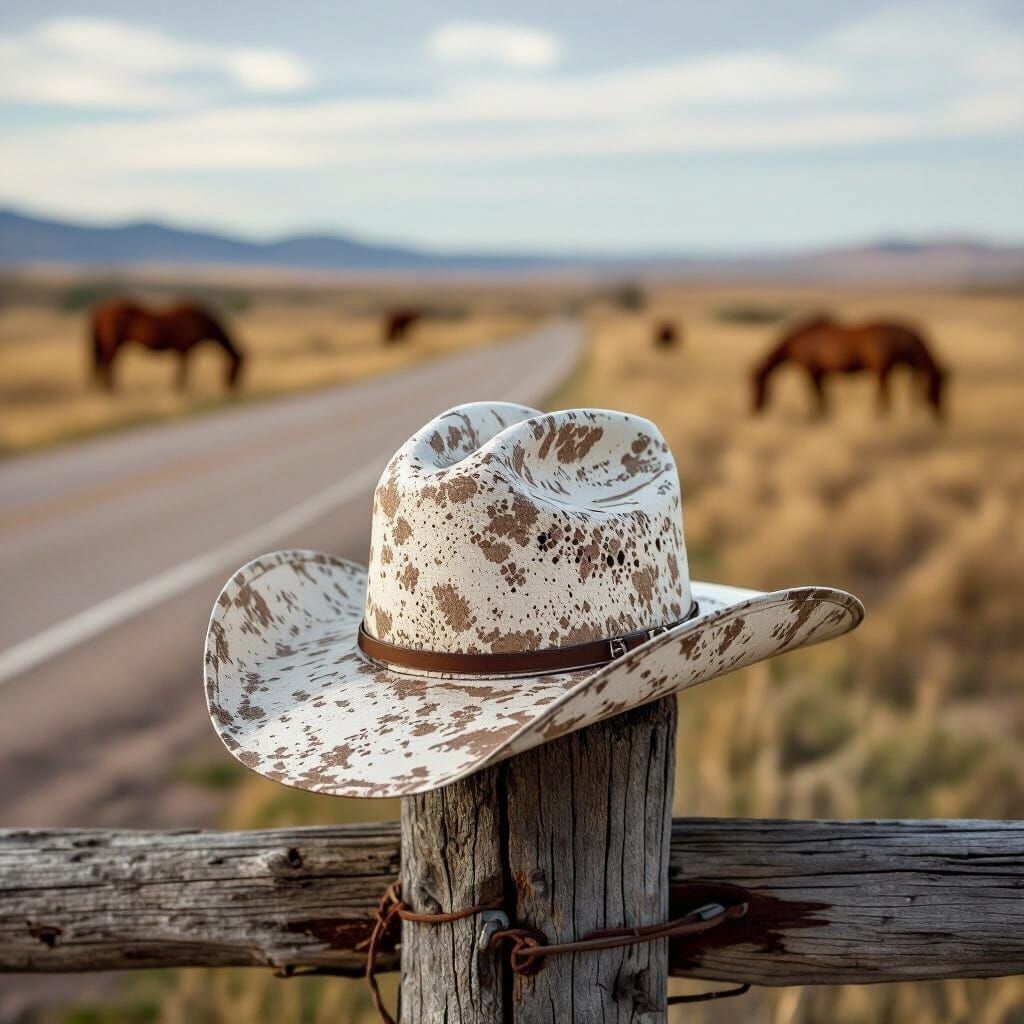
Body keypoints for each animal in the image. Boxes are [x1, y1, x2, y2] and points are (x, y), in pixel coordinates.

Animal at [90, 299, 245, 392]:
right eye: (237, 366)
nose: (233, 387)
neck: (199, 321)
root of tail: (101, 309)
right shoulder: (185, 351)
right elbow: (183, 371)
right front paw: (180, 389)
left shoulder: (183, 351)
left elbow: (181, 371)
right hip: (113, 346)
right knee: (108, 365)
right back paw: (112, 390)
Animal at [751, 314, 947, 419]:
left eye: (754, 384)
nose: (753, 409)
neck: (798, 340)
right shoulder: (819, 374)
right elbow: (822, 397)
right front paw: (823, 416)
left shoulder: (811, 373)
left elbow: (816, 397)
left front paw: (816, 416)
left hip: (881, 371)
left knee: (883, 394)